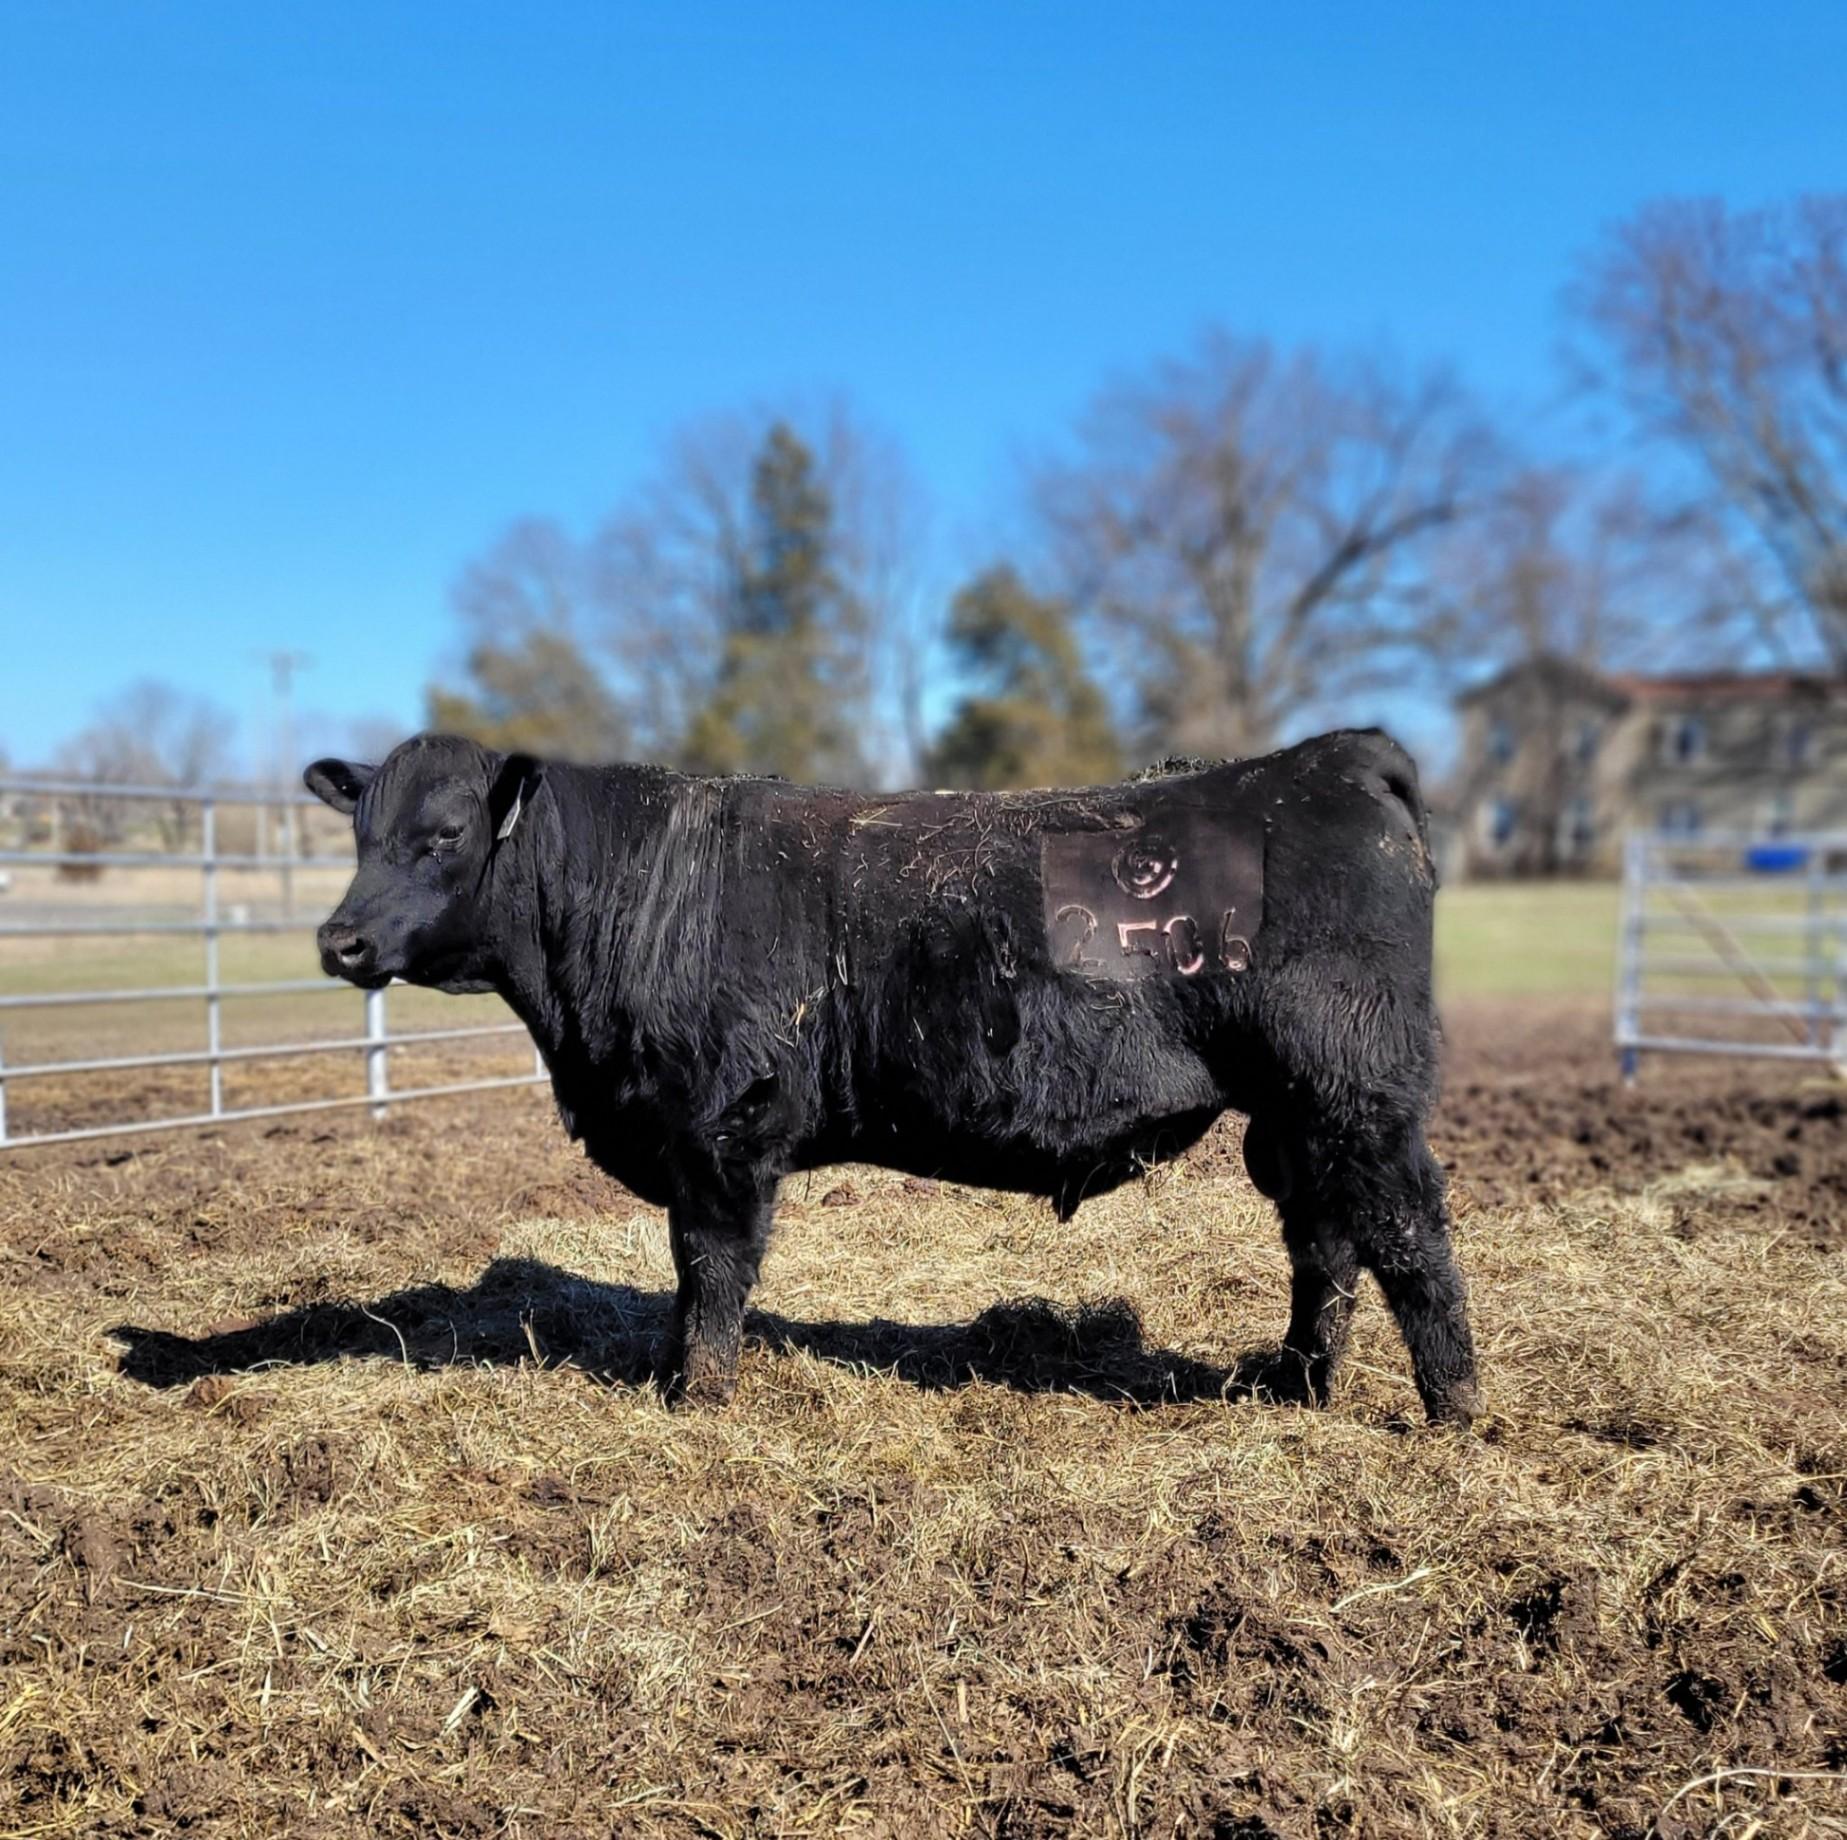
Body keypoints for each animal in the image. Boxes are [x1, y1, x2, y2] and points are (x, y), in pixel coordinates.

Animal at [305, 729, 1477, 1424]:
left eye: (442, 834)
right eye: (359, 835)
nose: (339, 940)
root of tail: (1330, 756)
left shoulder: (720, 1130)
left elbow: (709, 1267)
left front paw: (697, 1395)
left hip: (1356, 1094)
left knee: (1407, 1235)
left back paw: (1451, 1411)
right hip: (1296, 1115)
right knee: (1323, 1240)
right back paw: (1297, 1384)